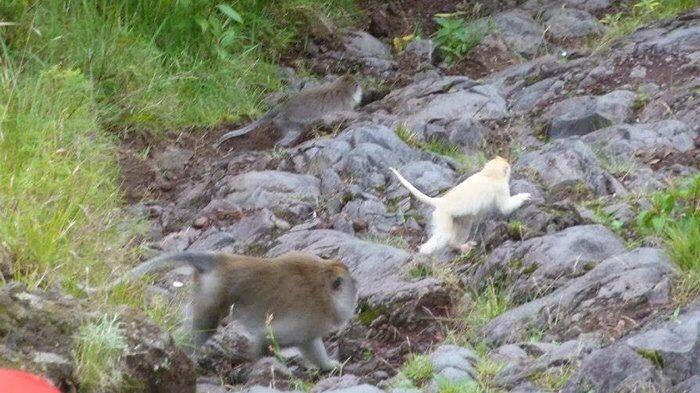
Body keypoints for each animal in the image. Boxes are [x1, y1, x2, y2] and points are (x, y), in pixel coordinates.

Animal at [88, 250, 358, 370]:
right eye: (351, 285)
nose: (356, 290)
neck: (323, 291)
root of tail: (224, 260)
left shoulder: (309, 328)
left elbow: (311, 345)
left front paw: (329, 366)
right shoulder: (306, 317)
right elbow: (265, 338)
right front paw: (260, 363)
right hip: (213, 291)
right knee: (204, 328)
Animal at [388, 156, 532, 254]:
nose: (509, 163)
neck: (488, 175)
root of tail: (441, 201)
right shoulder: (500, 187)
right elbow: (505, 207)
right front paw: (524, 196)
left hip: (457, 218)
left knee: (463, 226)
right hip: (443, 216)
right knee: (444, 236)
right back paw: (425, 250)